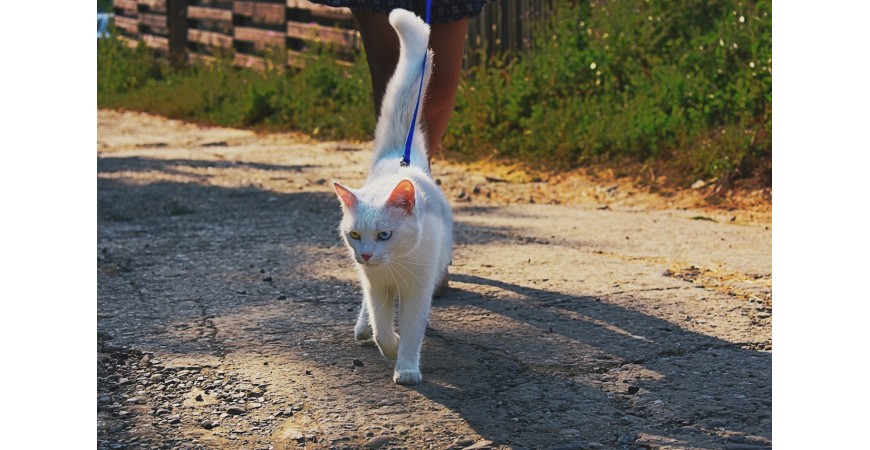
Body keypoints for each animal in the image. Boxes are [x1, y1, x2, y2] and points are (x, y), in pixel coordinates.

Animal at [332, 8, 456, 384]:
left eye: (385, 234)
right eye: (355, 234)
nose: (367, 254)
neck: (395, 267)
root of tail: (399, 159)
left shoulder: (417, 291)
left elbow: (414, 330)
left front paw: (407, 368)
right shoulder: (378, 289)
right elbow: (382, 328)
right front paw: (390, 345)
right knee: (367, 310)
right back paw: (361, 327)